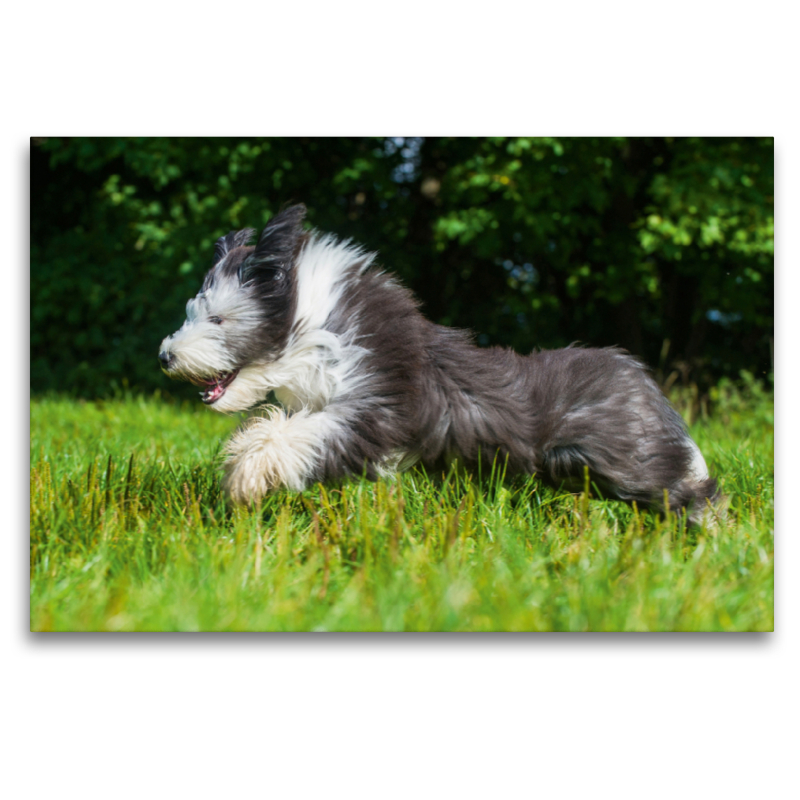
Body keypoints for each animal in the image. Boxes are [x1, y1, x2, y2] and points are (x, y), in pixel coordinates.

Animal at [159, 203, 720, 520]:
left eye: (217, 319)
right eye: (192, 313)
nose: (165, 355)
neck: (315, 326)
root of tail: (638, 376)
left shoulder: (377, 408)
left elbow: (308, 435)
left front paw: (246, 475)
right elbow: (281, 424)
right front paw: (244, 456)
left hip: (622, 460)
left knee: (690, 489)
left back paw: (711, 535)